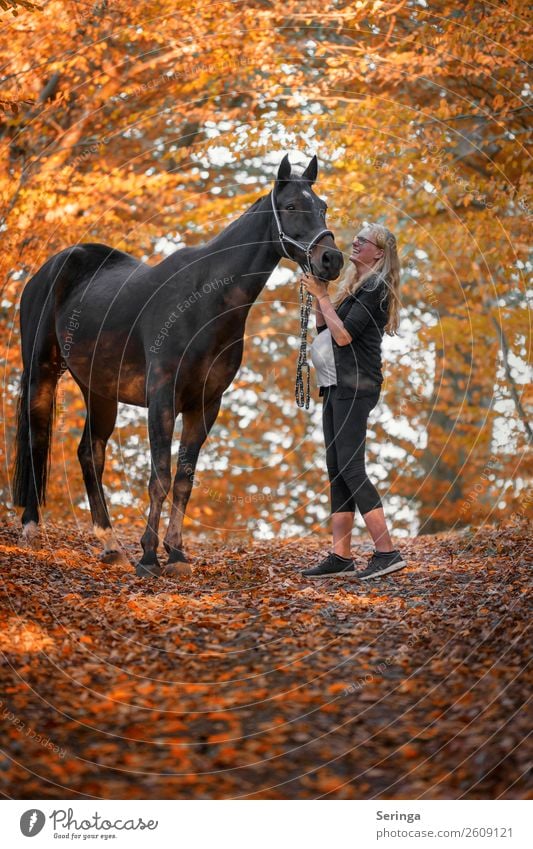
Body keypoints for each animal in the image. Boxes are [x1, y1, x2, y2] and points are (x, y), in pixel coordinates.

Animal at [13, 152, 344, 576]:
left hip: (98, 390)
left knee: (90, 453)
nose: (331, 259)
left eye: (322, 207)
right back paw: (32, 529)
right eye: (290, 207)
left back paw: (111, 545)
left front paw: (176, 553)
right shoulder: (162, 400)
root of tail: (51, 269)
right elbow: (160, 476)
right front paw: (149, 556)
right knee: (38, 438)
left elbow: (185, 478)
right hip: (41, 373)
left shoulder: (205, 405)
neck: (206, 301)